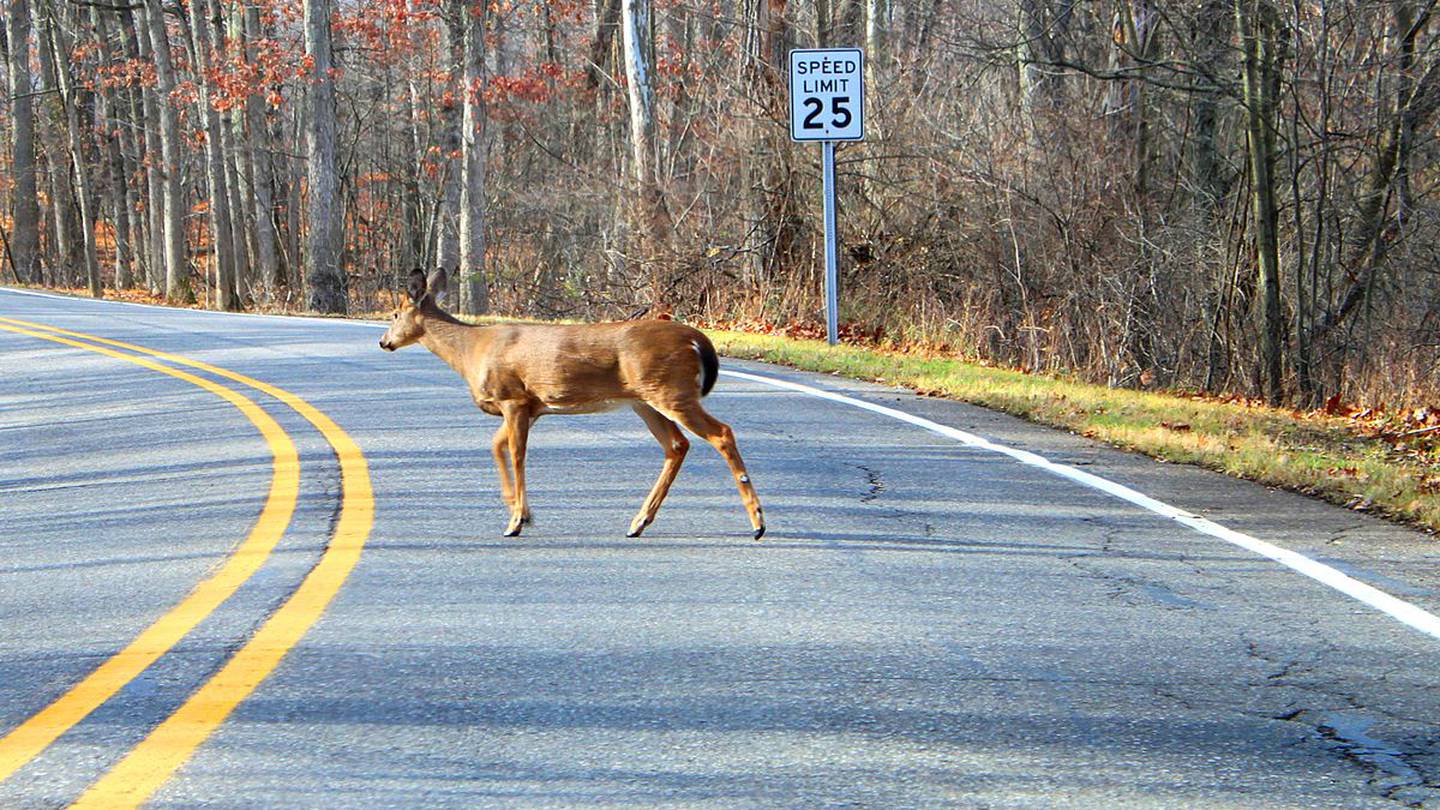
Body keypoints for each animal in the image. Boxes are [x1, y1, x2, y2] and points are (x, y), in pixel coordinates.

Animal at [380, 268, 766, 539]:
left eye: (396, 314)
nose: (384, 341)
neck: (470, 351)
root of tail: (697, 339)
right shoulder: (530, 407)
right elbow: (496, 446)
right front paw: (521, 511)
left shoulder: (513, 398)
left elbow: (517, 455)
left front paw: (516, 520)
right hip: (645, 400)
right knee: (677, 445)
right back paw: (638, 522)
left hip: (671, 391)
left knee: (721, 433)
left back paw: (758, 523)